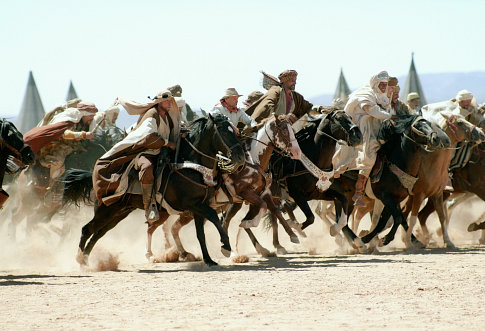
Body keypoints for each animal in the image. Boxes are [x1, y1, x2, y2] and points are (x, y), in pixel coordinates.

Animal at [63, 114, 246, 268]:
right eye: (224, 131)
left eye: (234, 130)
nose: (240, 157)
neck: (190, 165)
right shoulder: (194, 205)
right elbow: (215, 218)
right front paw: (226, 247)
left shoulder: (199, 208)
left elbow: (200, 234)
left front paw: (209, 260)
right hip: (105, 211)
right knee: (87, 229)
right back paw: (80, 259)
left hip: (119, 213)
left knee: (98, 233)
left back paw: (87, 260)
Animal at [146, 115, 300, 260]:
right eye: (285, 130)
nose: (297, 152)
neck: (253, 161)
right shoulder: (245, 193)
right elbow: (260, 208)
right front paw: (247, 226)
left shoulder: (263, 192)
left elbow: (274, 210)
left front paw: (292, 236)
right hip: (172, 210)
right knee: (152, 227)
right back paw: (151, 255)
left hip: (187, 211)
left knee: (173, 228)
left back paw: (184, 253)